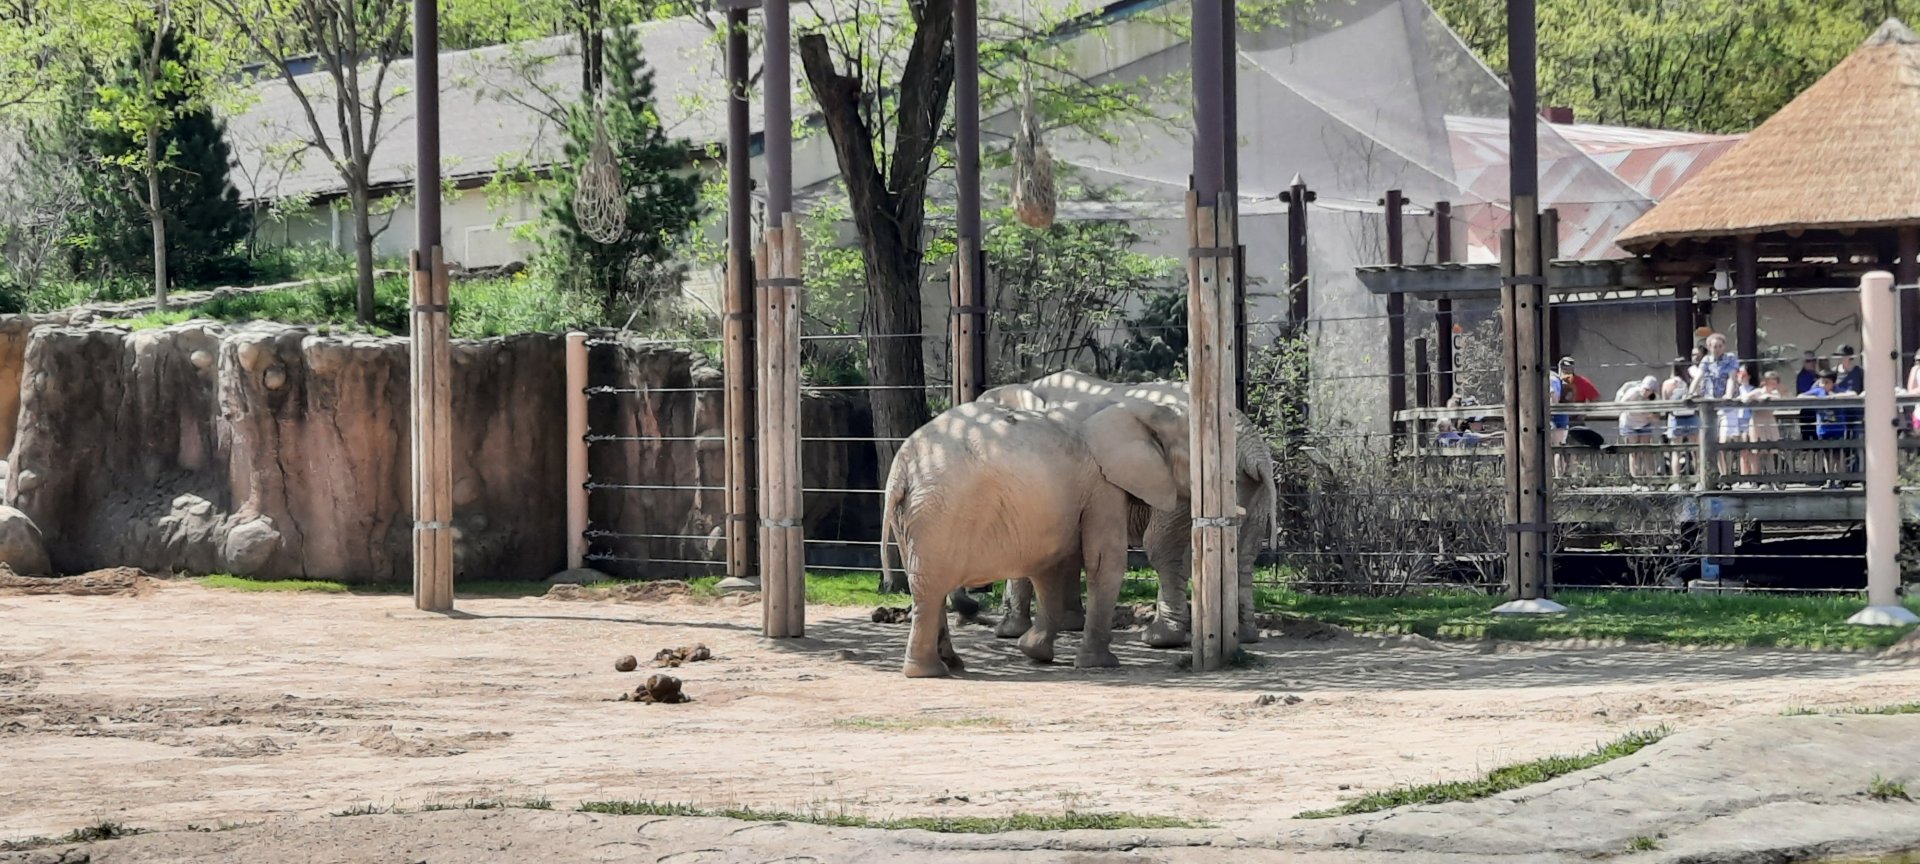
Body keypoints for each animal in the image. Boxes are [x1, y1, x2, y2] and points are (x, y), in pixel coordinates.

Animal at [879, 398, 1191, 677]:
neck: (1137, 408)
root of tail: (900, 471)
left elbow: (1049, 565)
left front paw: (1034, 651)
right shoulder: (1102, 486)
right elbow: (1104, 561)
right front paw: (1099, 664)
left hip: (912, 516)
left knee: (925, 583)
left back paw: (952, 664)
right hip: (939, 511)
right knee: (930, 588)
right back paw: (928, 672)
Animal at [965, 370, 1277, 649]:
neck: (1025, 391)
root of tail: (1253, 450)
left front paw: (1007, 632)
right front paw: (1069, 624)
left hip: (1191, 480)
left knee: (1163, 548)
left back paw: (1160, 639)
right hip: (1249, 489)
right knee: (1243, 553)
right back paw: (1244, 635)